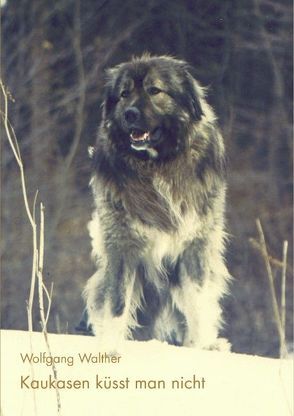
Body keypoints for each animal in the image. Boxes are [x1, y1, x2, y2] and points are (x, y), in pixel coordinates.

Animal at [82, 53, 230, 350]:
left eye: (154, 91)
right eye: (124, 94)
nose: (129, 114)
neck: (157, 165)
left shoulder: (195, 244)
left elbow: (198, 301)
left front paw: (203, 347)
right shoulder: (122, 246)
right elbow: (117, 305)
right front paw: (110, 346)